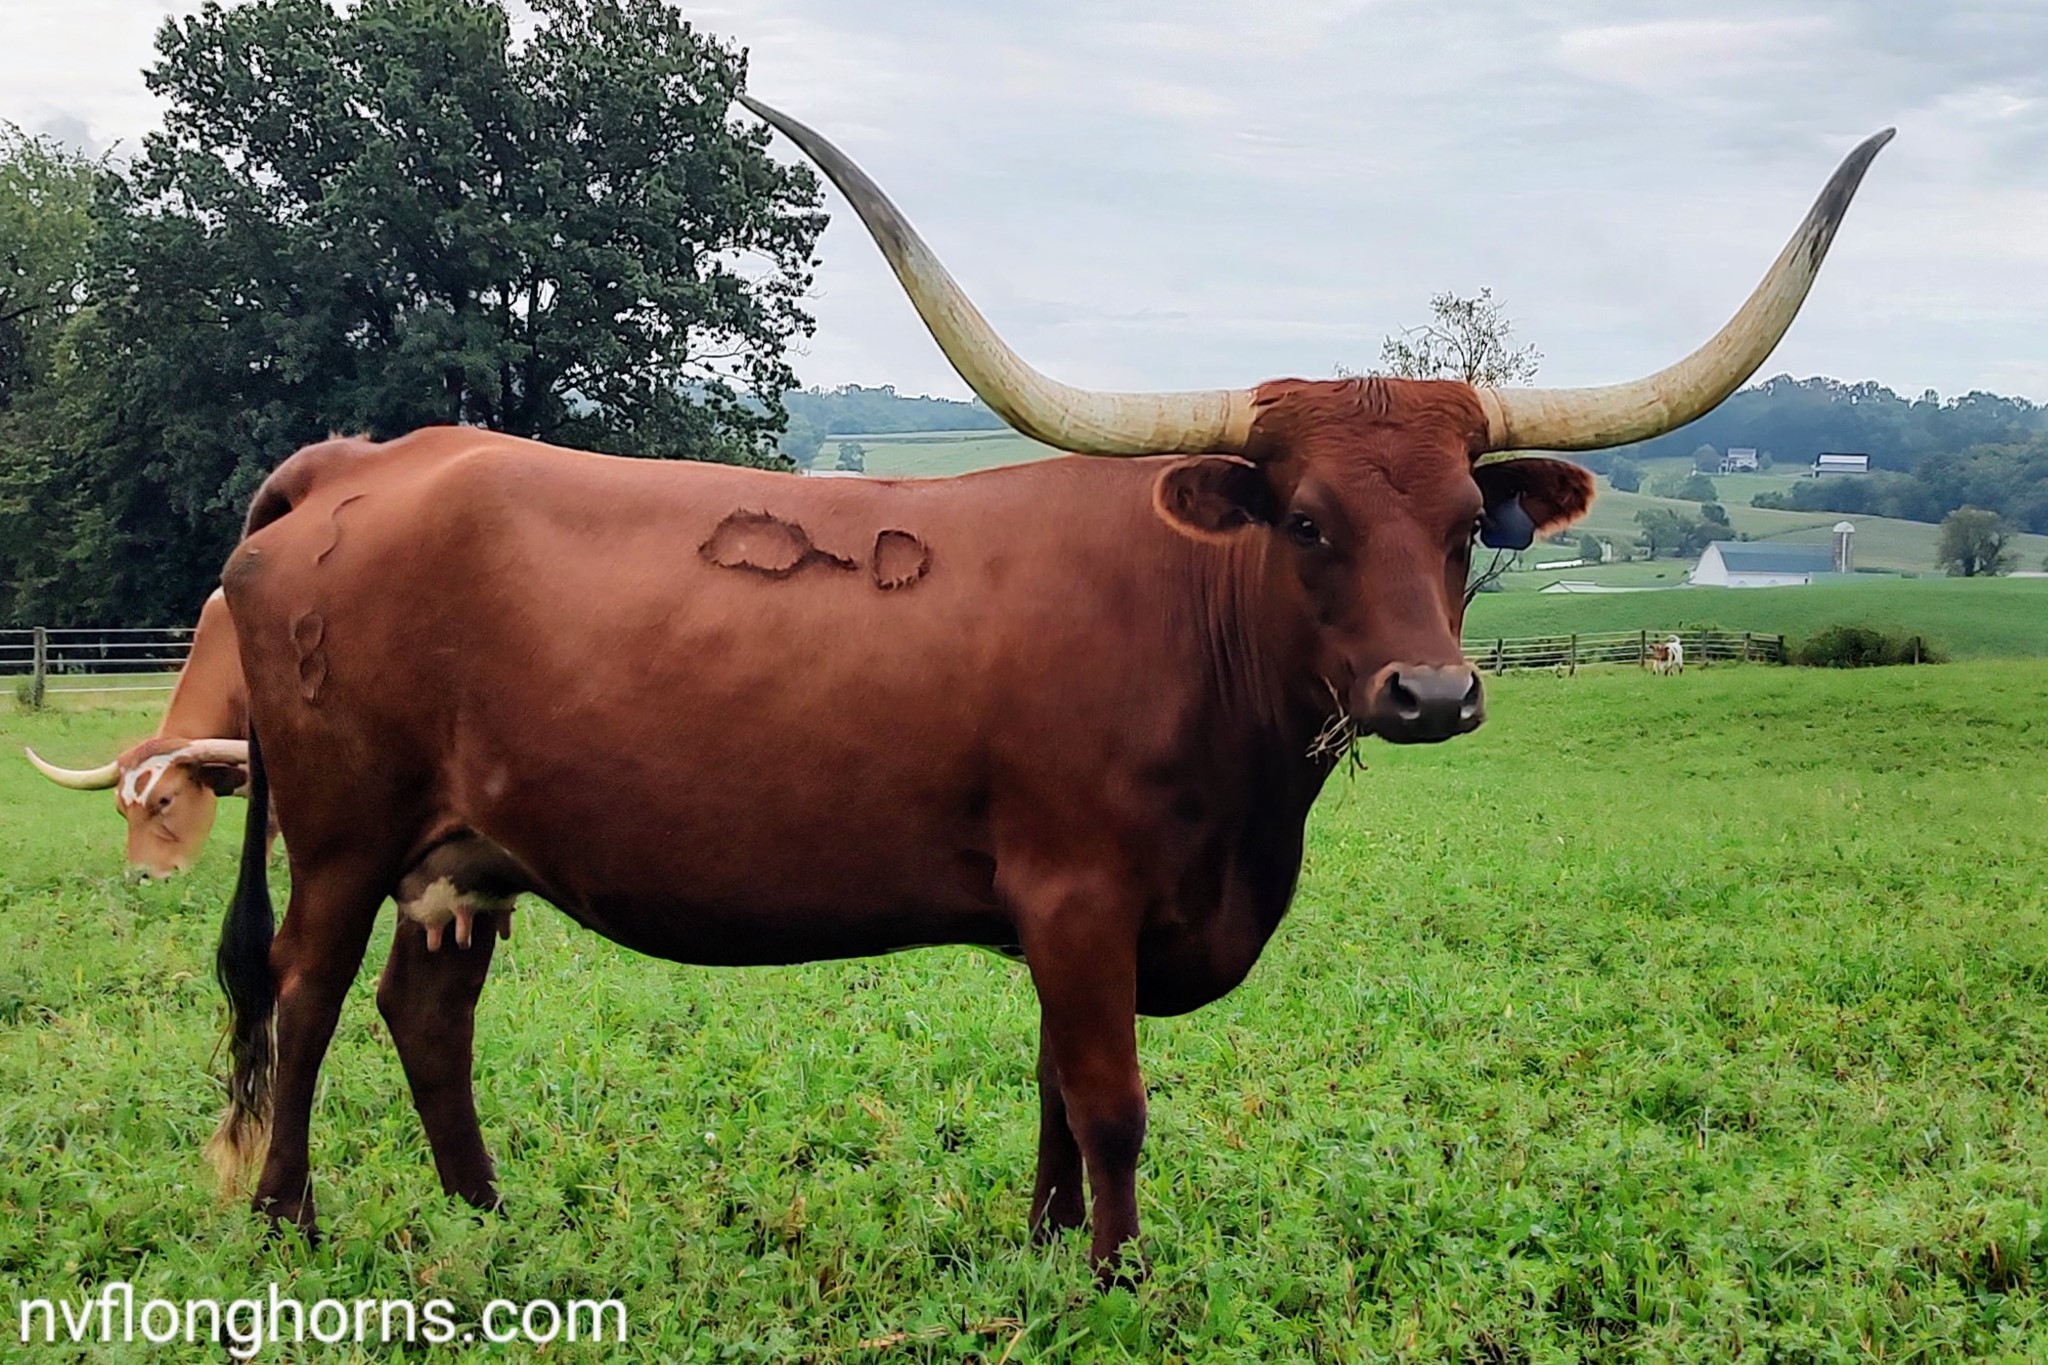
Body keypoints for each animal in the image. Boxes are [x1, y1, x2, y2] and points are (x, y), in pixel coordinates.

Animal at [203, 100, 1890, 1280]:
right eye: (1304, 521)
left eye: (1466, 523)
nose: (1428, 692)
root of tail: (364, 458)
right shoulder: (1079, 899)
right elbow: (1114, 1099)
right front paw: (1120, 1278)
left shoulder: (1081, 919)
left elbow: (1055, 1098)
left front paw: (1041, 1249)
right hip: (344, 833)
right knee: (304, 996)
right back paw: (289, 1225)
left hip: (465, 851)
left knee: (426, 1011)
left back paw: (486, 1213)